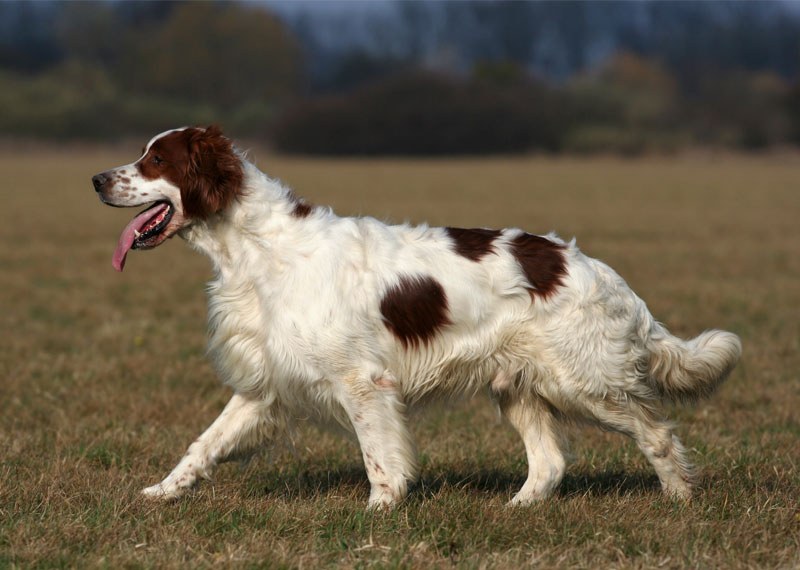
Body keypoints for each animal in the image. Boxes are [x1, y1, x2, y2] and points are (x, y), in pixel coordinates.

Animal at [90, 125, 740, 506]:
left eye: (154, 159)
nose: (96, 178)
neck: (257, 248)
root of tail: (598, 270)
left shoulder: (362, 382)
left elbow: (380, 458)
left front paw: (379, 513)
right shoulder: (266, 383)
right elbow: (203, 444)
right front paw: (160, 492)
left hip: (585, 382)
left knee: (656, 433)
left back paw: (679, 500)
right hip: (520, 386)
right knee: (550, 463)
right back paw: (516, 509)